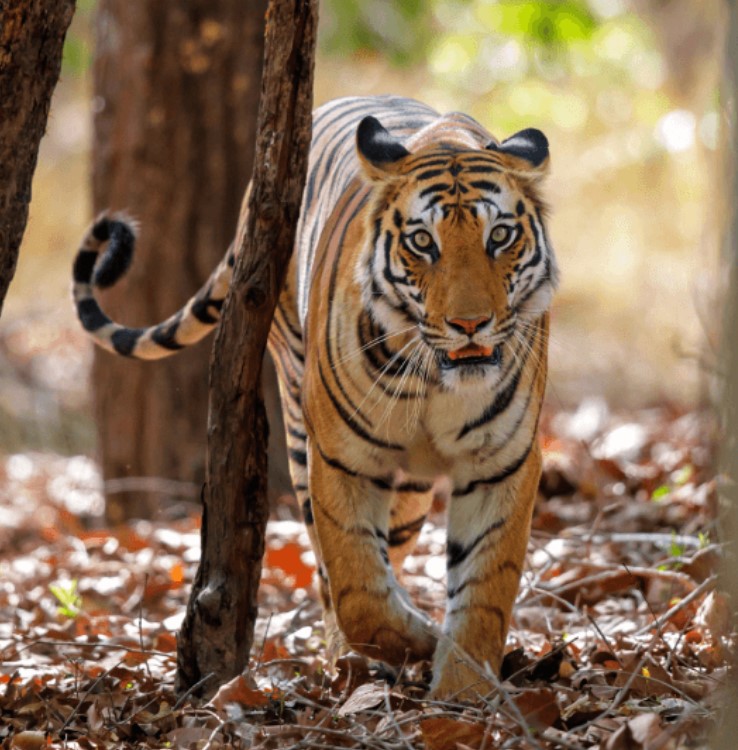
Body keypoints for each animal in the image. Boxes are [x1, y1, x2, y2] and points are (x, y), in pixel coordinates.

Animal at [75, 97, 556, 704]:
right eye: (423, 242)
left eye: (500, 236)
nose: (470, 324)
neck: (437, 381)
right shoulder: (341, 458)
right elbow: (357, 587)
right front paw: (416, 644)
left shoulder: (502, 464)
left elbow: (485, 586)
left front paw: (462, 693)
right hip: (301, 430)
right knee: (335, 573)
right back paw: (352, 660)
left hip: (410, 493)